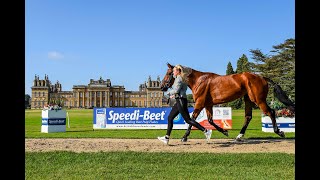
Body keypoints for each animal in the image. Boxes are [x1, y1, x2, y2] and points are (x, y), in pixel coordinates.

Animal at [160, 62, 296, 141]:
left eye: (169, 73)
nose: (162, 87)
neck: (199, 80)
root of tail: (261, 77)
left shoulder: (200, 103)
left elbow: (192, 119)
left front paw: (184, 137)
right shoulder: (208, 104)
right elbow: (210, 120)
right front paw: (225, 131)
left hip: (258, 99)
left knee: (271, 112)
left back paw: (279, 132)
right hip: (248, 99)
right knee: (248, 116)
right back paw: (239, 136)